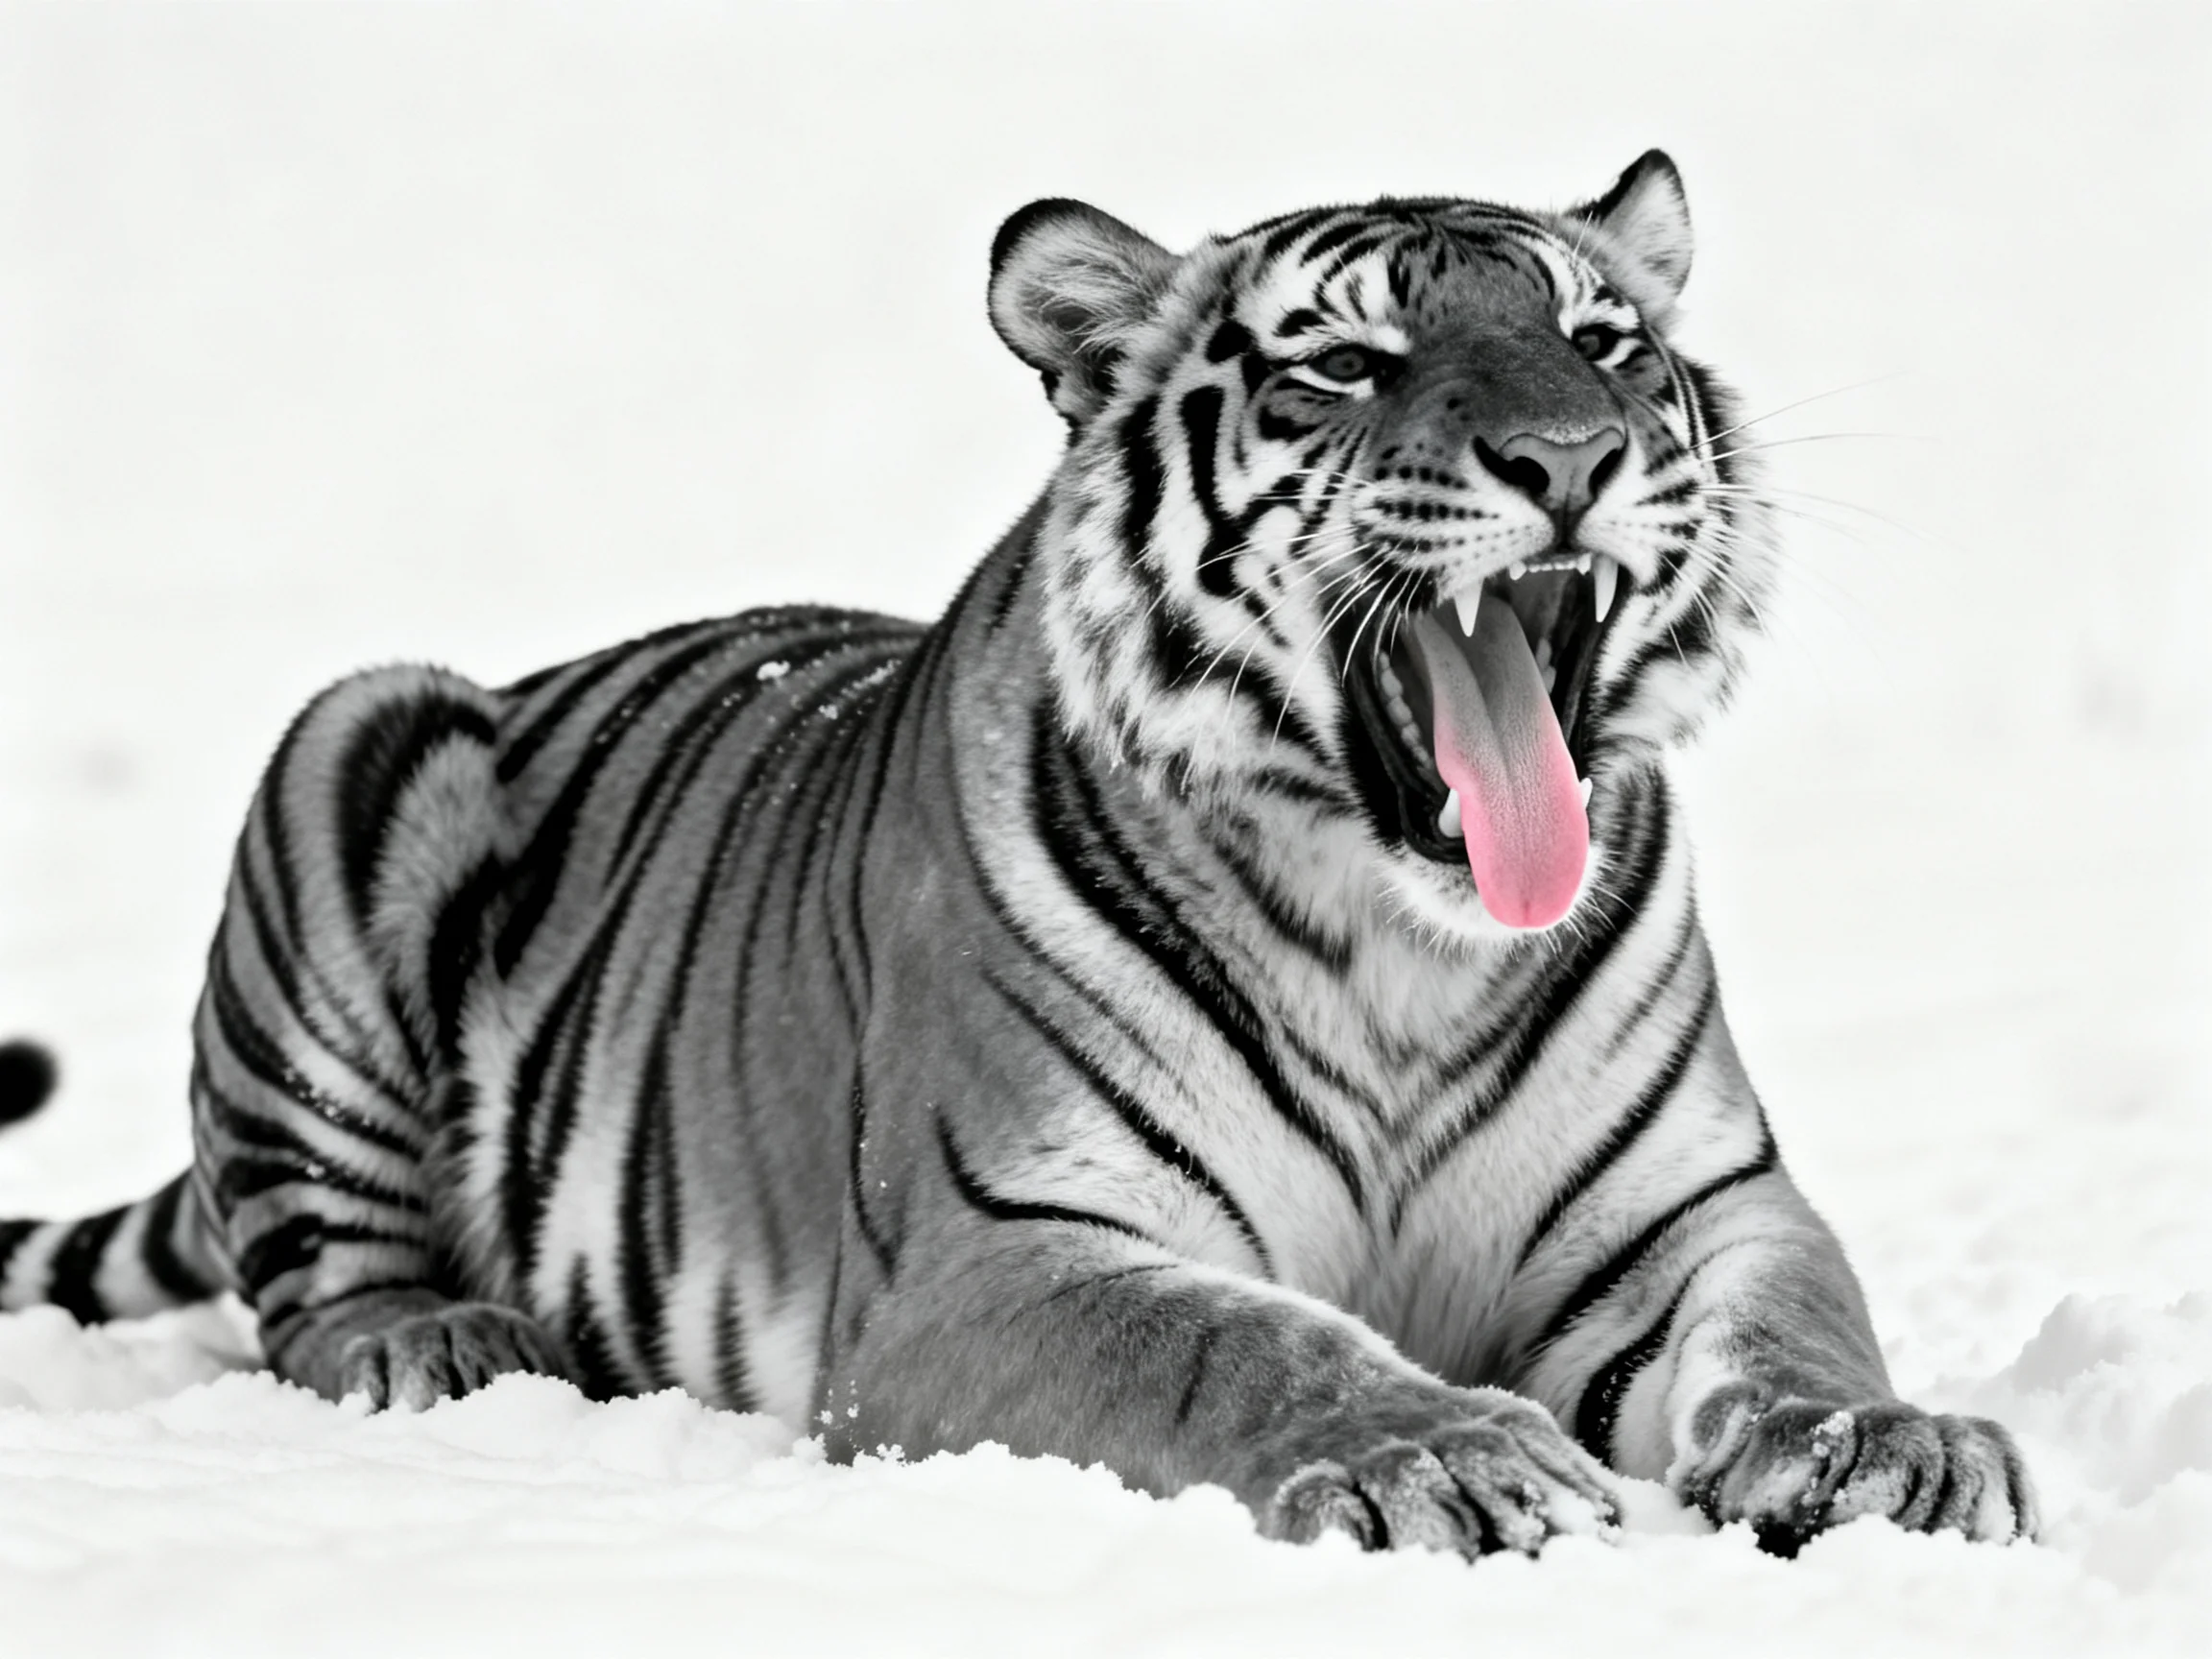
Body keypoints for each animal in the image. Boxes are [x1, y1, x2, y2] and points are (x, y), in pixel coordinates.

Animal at [0, 151, 2035, 1557]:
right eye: (1344, 364)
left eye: (1601, 343)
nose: (1569, 455)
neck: (1402, 954)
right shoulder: (996, 1257)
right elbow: (1237, 1343)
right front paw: (1441, 1451)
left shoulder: (1696, 1210)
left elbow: (1796, 1320)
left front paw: (1893, 1444)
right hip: (357, 730)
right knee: (307, 1282)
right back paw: (440, 1339)